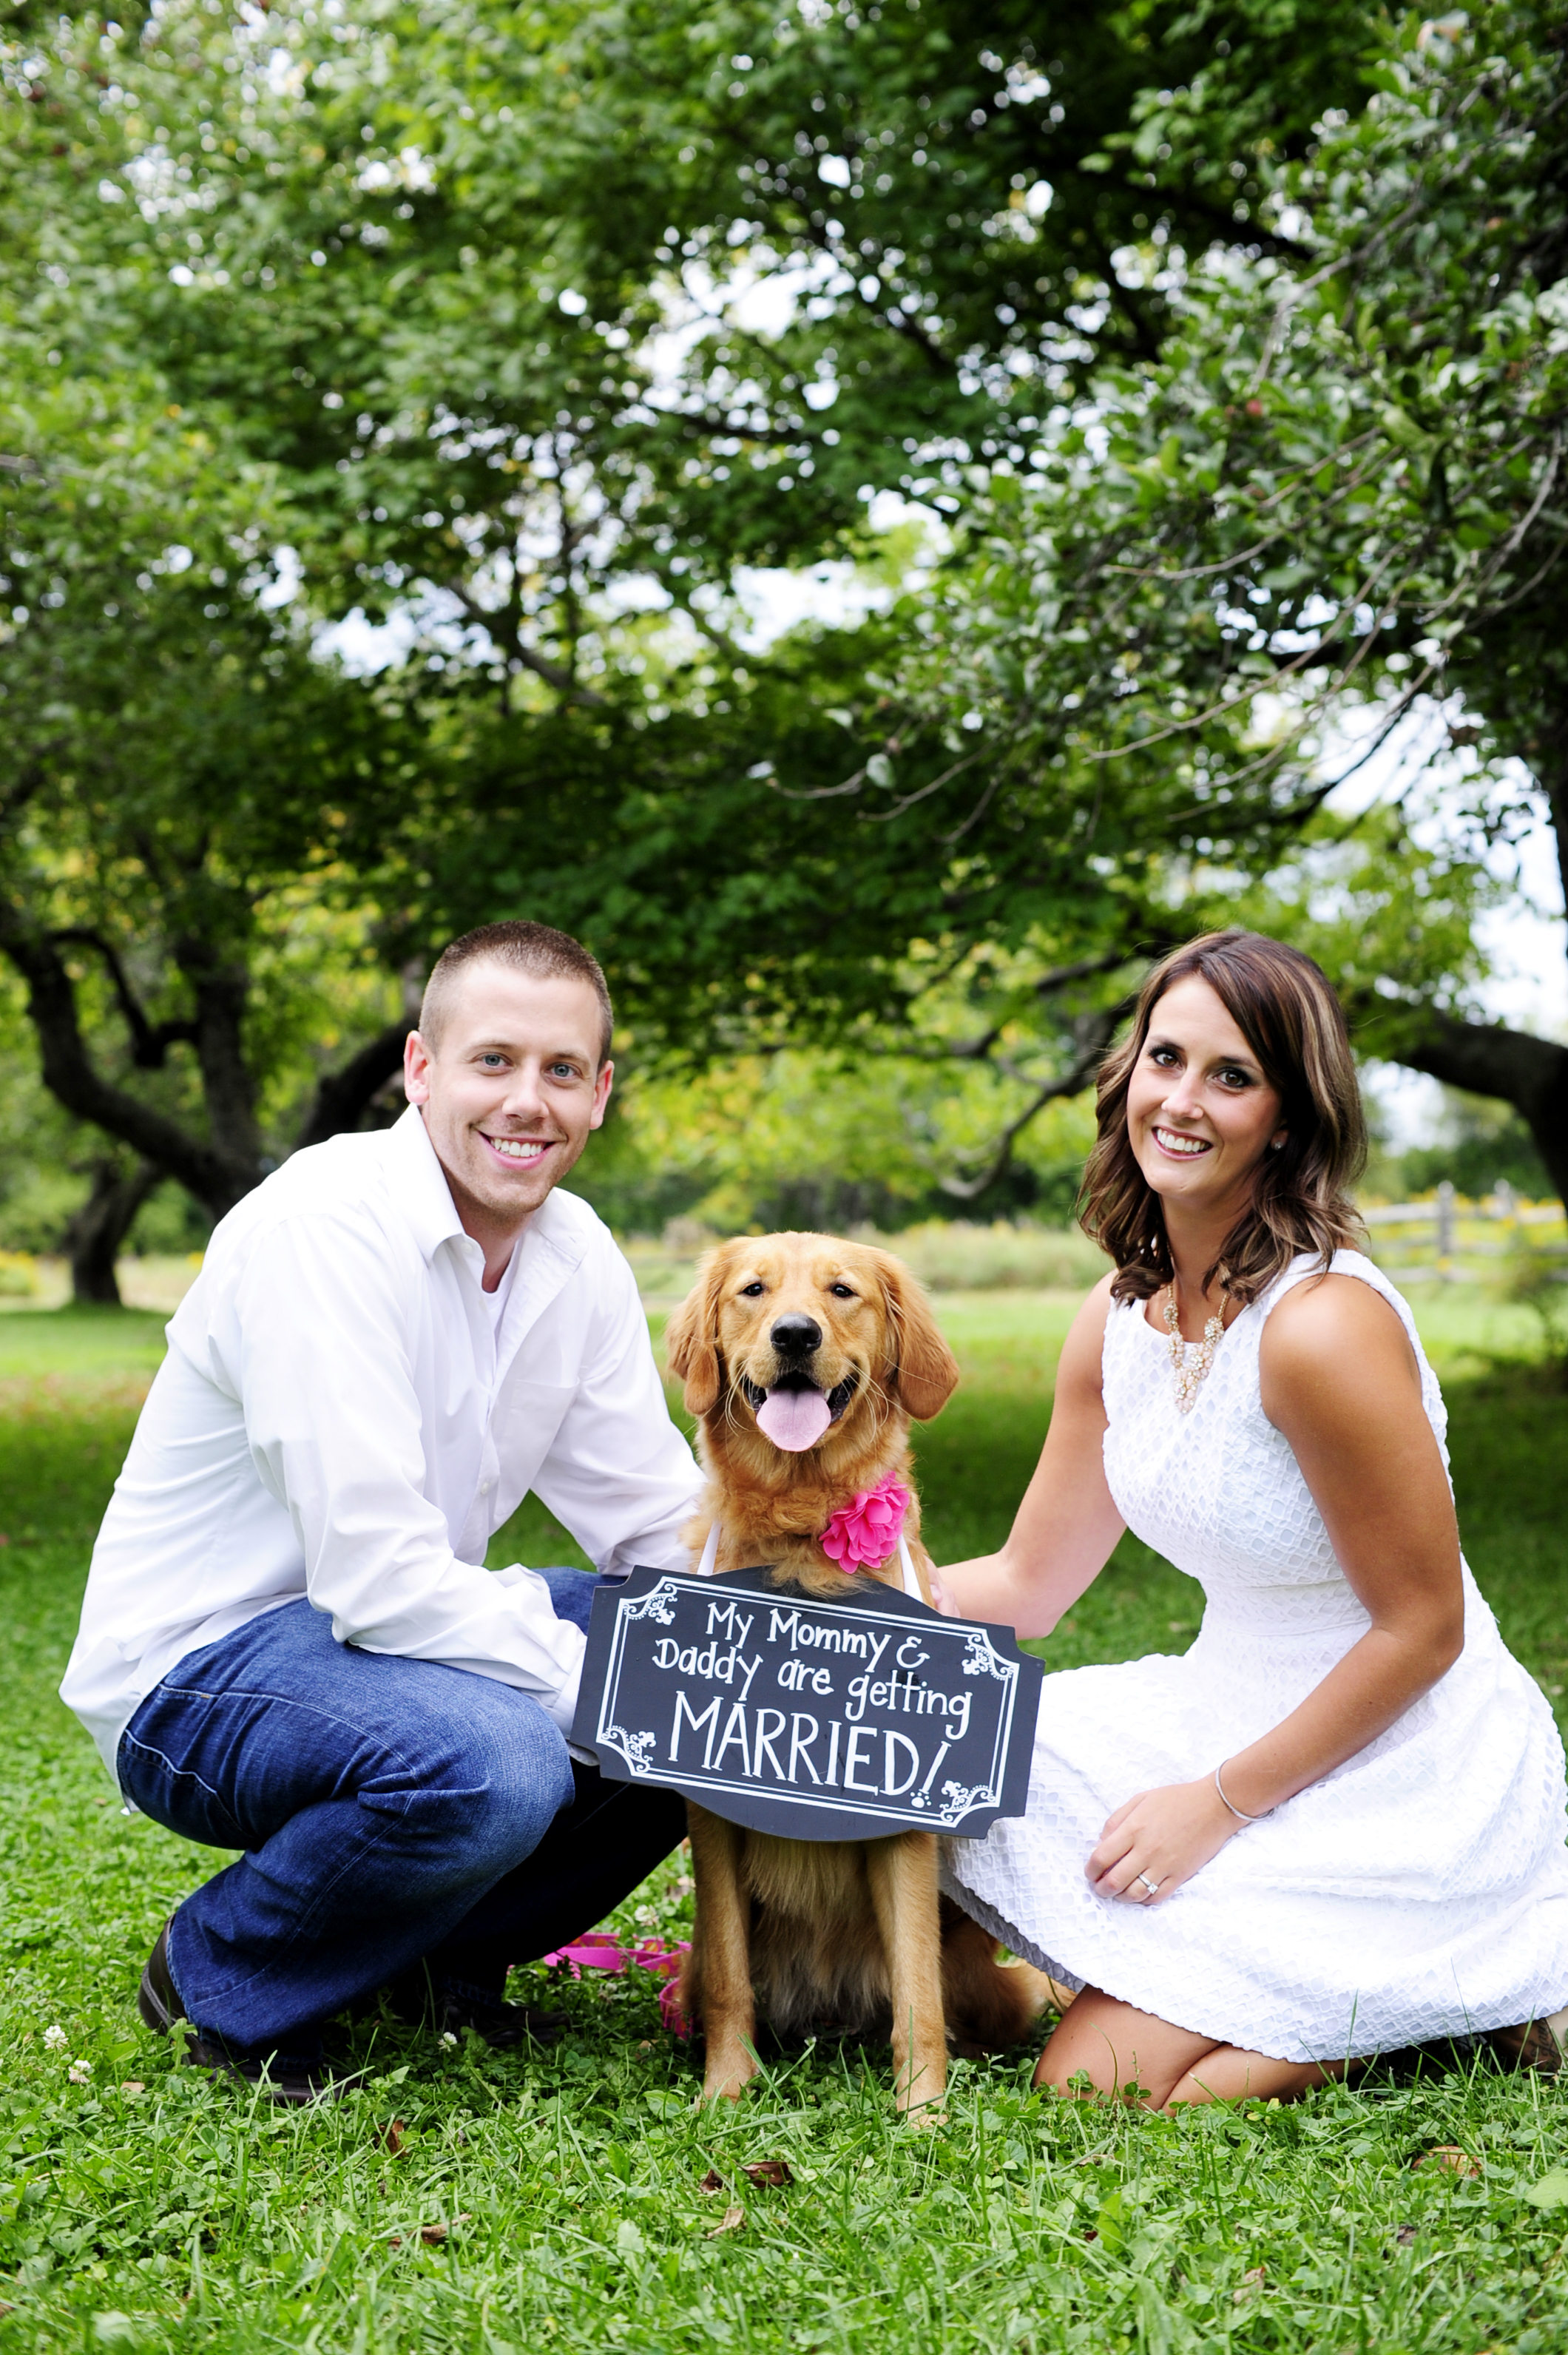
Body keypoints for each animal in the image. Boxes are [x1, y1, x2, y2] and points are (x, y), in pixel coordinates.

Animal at [659, 1234, 1050, 2119]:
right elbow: (730, 1977)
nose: (794, 1334)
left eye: (842, 1292)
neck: (802, 1531)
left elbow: (916, 1991)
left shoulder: (899, 1822)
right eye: (753, 1290)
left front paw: (923, 2111)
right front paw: (726, 2091)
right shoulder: (712, 1820)